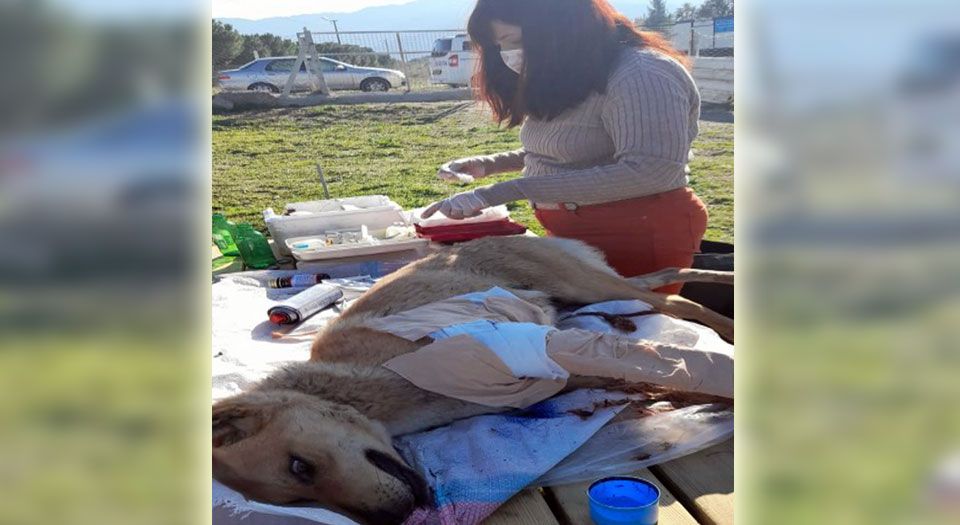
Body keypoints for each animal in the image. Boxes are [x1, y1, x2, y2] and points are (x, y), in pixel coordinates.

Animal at [212, 235, 736, 520]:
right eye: (299, 500)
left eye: (300, 466)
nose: (398, 518)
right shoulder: (550, 375)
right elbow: (651, 377)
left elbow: (678, 366)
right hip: (589, 290)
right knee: (664, 277)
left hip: (581, 283)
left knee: (675, 299)